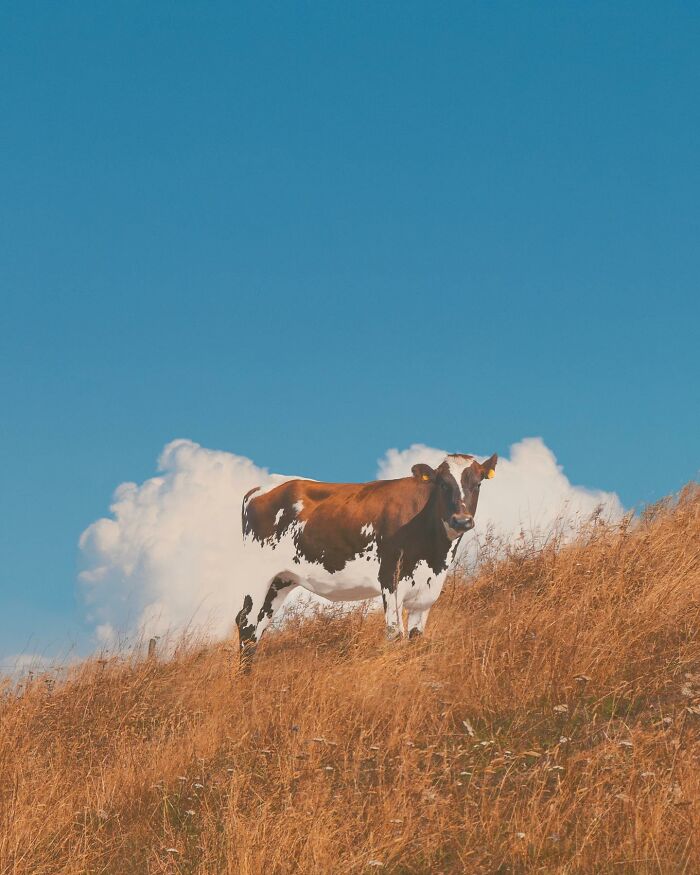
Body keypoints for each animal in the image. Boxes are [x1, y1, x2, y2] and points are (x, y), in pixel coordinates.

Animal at [236, 452, 497, 667]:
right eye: (443, 484)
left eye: (477, 483)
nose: (461, 520)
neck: (434, 554)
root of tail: (259, 488)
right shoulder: (390, 577)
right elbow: (395, 633)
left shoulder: (427, 589)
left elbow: (416, 638)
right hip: (257, 573)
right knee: (247, 624)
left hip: (280, 580)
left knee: (257, 630)